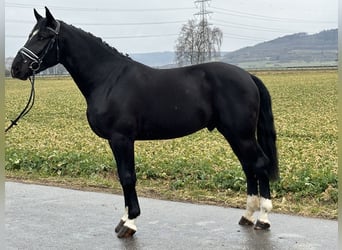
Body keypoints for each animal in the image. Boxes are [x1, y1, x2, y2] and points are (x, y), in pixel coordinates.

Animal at [11, 7, 278, 238]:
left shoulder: (122, 139)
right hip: (234, 134)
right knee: (249, 167)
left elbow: (128, 176)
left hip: (241, 134)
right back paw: (248, 214)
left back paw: (263, 218)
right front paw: (124, 219)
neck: (109, 79)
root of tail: (248, 76)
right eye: (30, 34)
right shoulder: (115, 141)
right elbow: (122, 177)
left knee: (259, 164)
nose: (16, 68)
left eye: (43, 36)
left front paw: (130, 223)